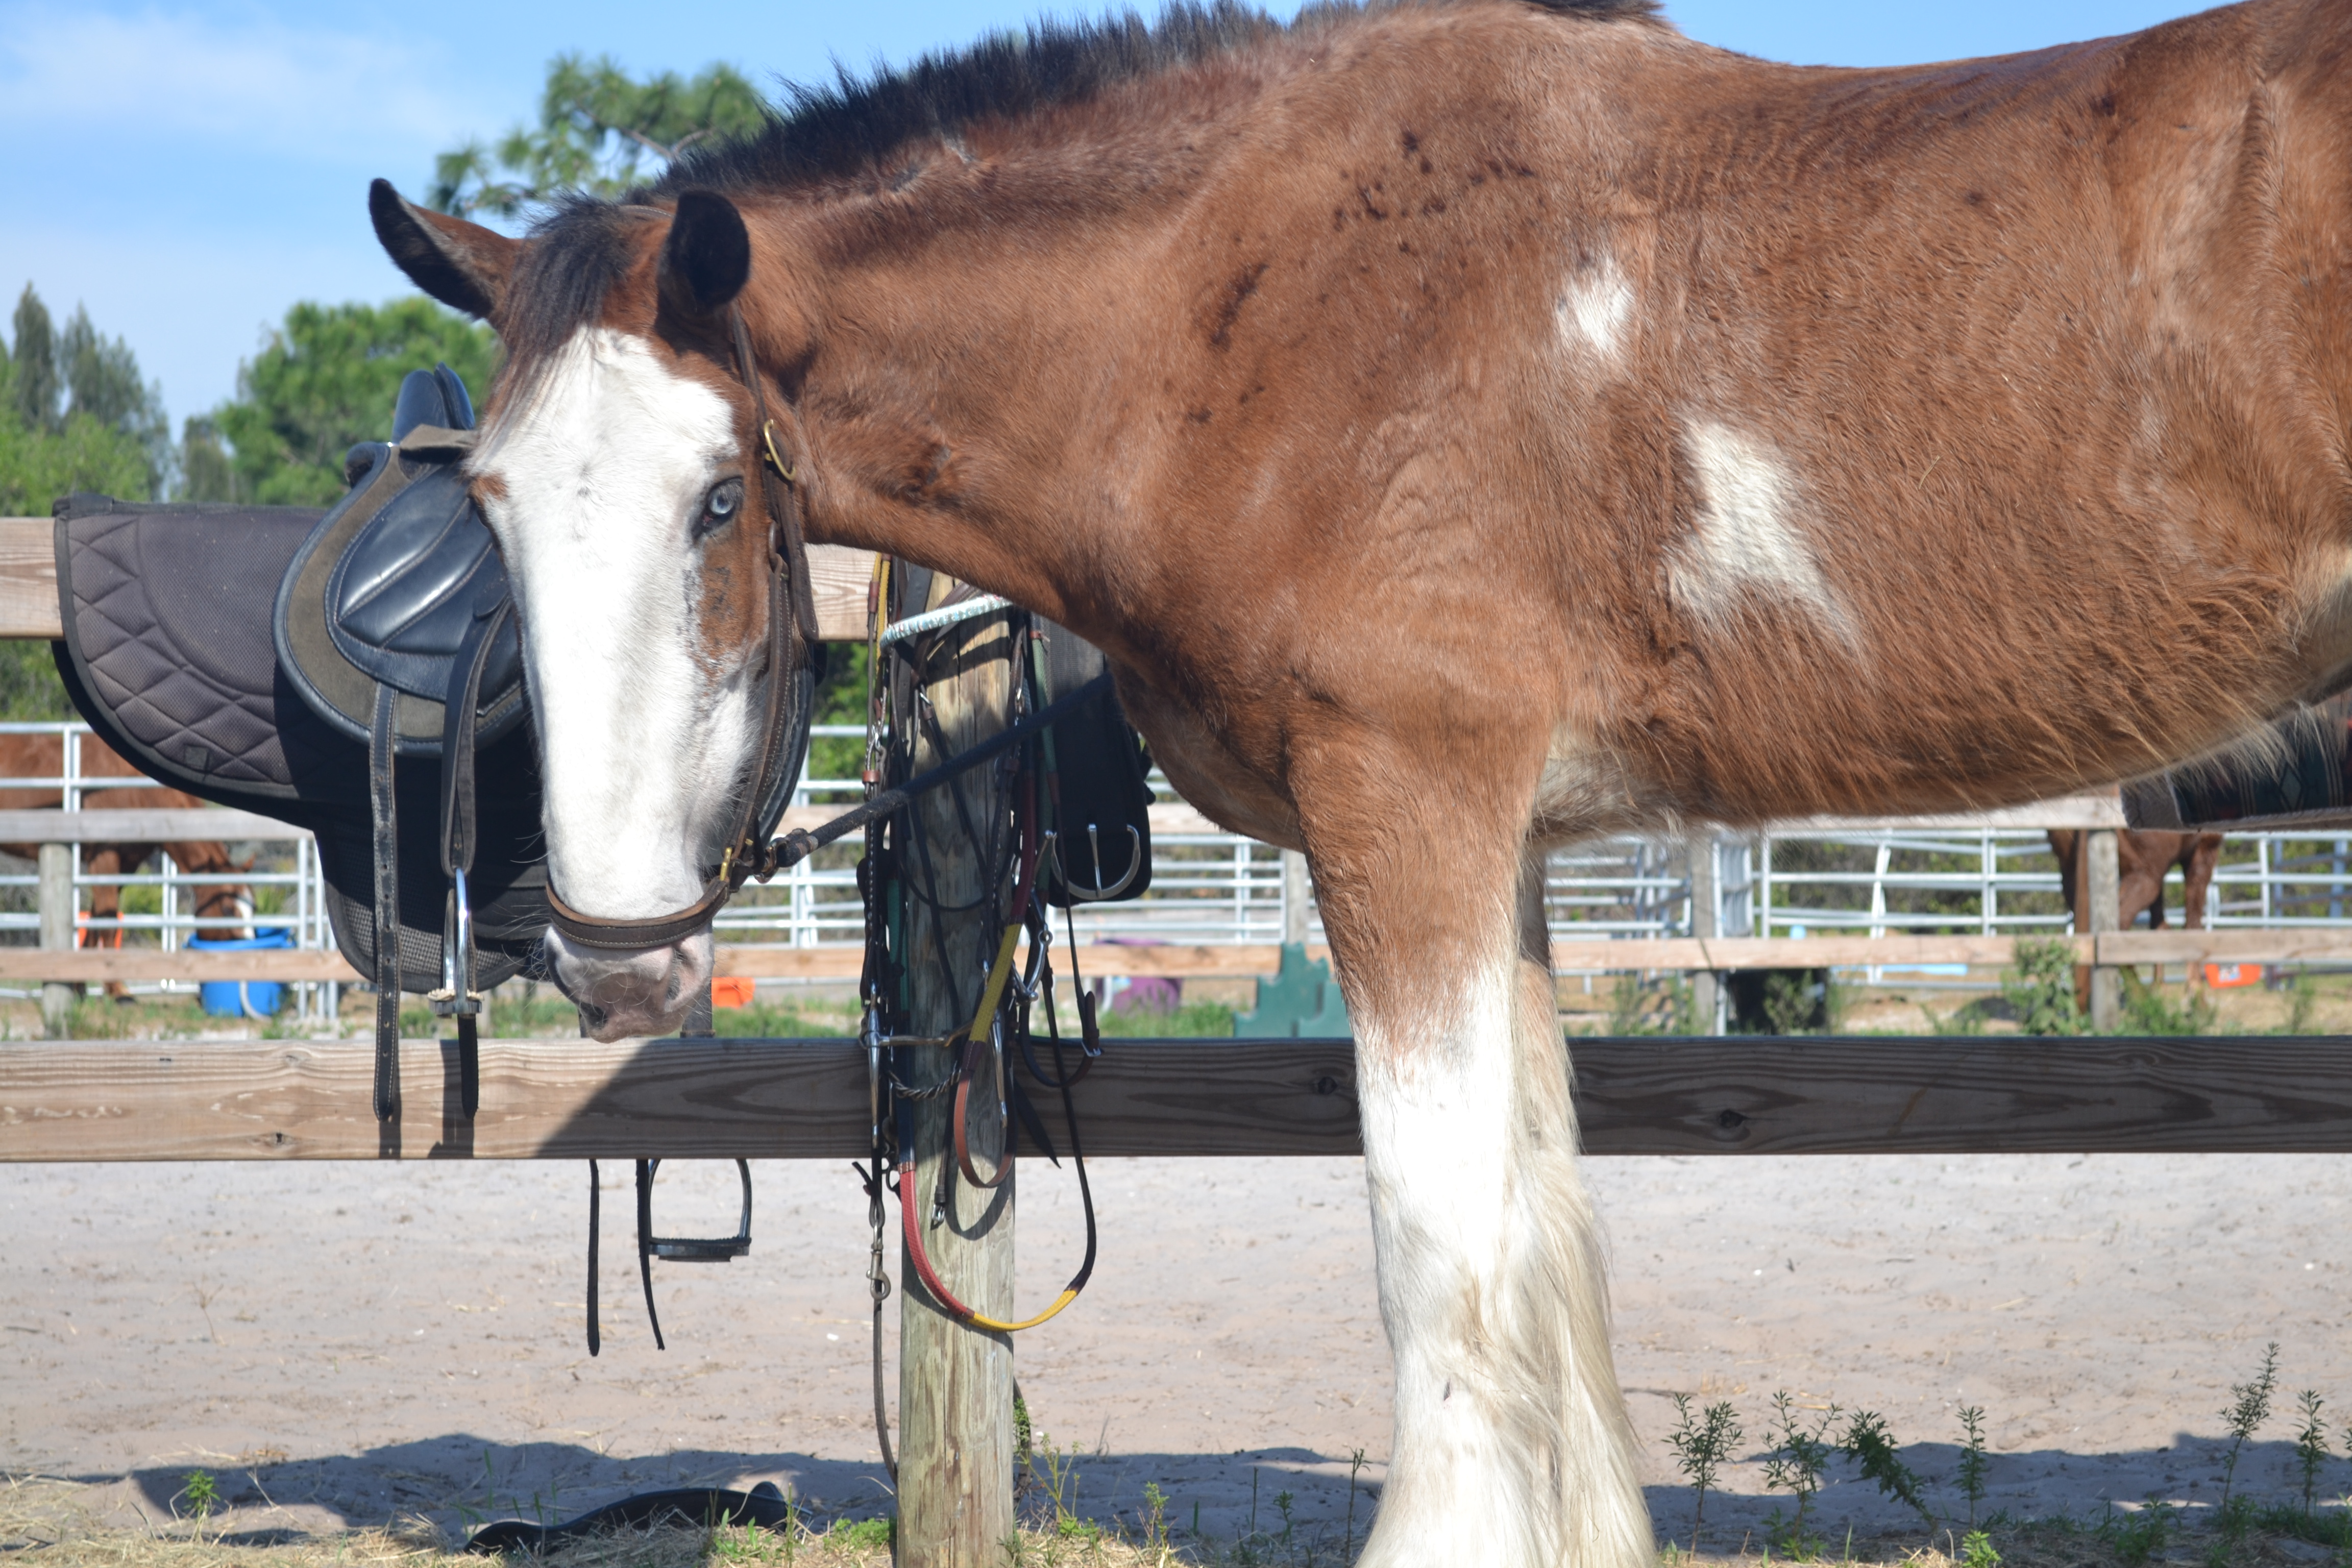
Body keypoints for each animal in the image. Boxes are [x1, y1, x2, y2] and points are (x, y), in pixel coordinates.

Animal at [362, 3, 2352, 1561]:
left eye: (718, 499)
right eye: (491, 506)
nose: (609, 951)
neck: (1256, 317)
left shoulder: (1408, 805)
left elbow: (1442, 1245)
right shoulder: (1504, 841)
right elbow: (1540, 1235)